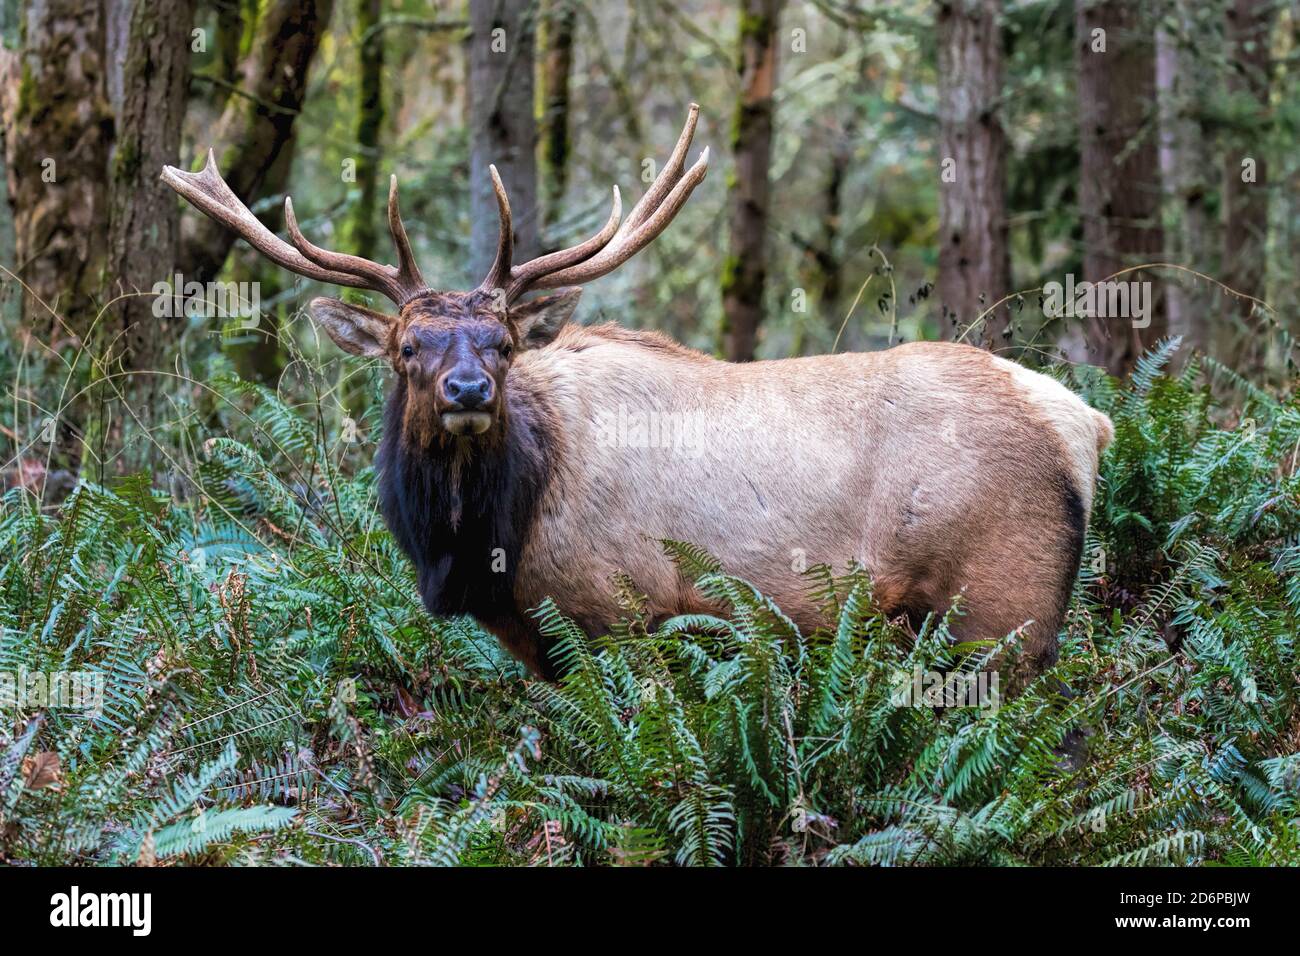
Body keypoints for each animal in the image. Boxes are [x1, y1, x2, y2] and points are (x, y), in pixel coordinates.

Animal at [165, 104, 1118, 686]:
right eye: (408, 348)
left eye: (504, 343)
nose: (468, 388)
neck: (483, 546)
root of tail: (1085, 423)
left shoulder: (622, 612)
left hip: (1002, 609)